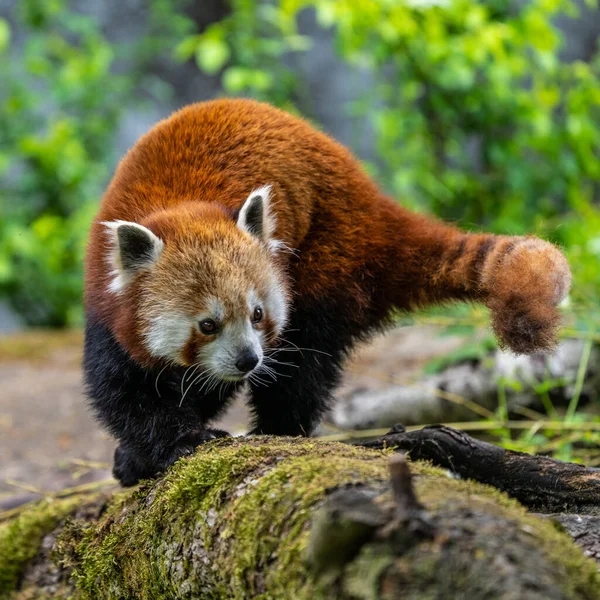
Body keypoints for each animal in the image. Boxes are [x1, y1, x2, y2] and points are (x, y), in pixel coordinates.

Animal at [82, 97, 568, 482]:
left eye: (257, 314)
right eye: (207, 324)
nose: (248, 360)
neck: (183, 209)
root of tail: (374, 203)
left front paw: (177, 444)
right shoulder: (106, 307)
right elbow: (126, 391)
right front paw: (157, 449)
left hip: (330, 253)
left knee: (305, 361)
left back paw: (277, 430)